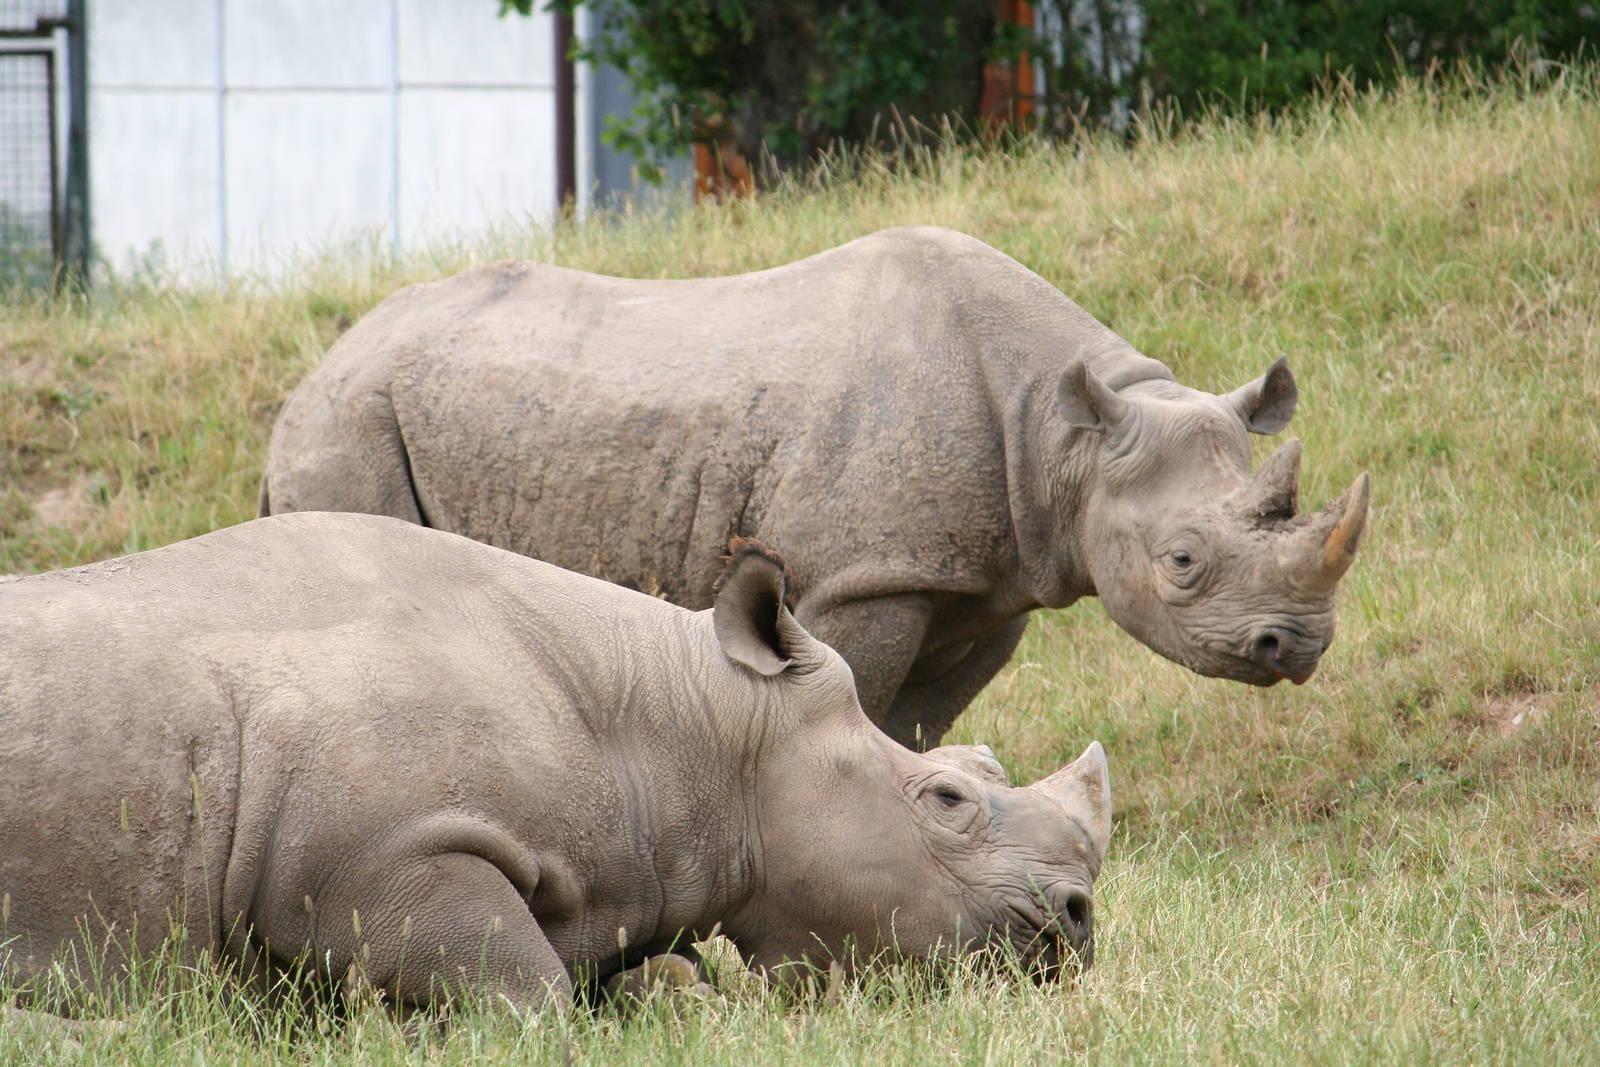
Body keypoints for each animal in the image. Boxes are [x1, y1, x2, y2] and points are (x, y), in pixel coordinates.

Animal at [0, 514, 1111, 1011]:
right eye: (947, 797)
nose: (1077, 917)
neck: (685, 731)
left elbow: (669, 978)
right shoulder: (379, 853)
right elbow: (531, 995)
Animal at [262, 226, 1370, 748]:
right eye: (1182, 560)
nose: (1299, 647)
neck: (1066, 438)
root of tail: (310, 375)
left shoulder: (976, 581)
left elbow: (915, 725)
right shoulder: (862, 577)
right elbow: (852, 698)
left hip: (383, 412)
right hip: (350, 428)